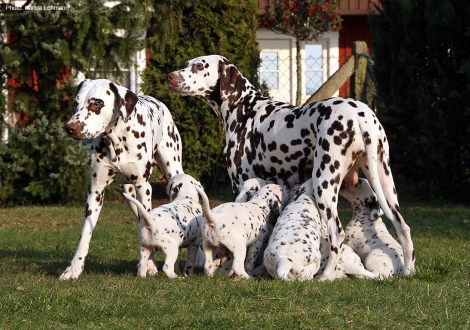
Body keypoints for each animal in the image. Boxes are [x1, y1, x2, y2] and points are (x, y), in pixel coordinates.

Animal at [63, 78, 185, 280]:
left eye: (96, 104)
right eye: (75, 103)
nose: (70, 127)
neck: (116, 140)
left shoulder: (144, 187)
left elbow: (146, 225)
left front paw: (149, 266)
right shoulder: (95, 191)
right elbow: (85, 234)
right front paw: (73, 268)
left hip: (172, 169)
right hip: (130, 197)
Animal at [166, 54, 414, 282]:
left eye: (199, 66)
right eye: (189, 64)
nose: (170, 76)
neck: (245, 110)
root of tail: (361, 114)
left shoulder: (241, 184)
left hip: (325, 186)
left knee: (337, 235)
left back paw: (326, 276)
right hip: (385, 185)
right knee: (404, 228)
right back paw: (408, 271)